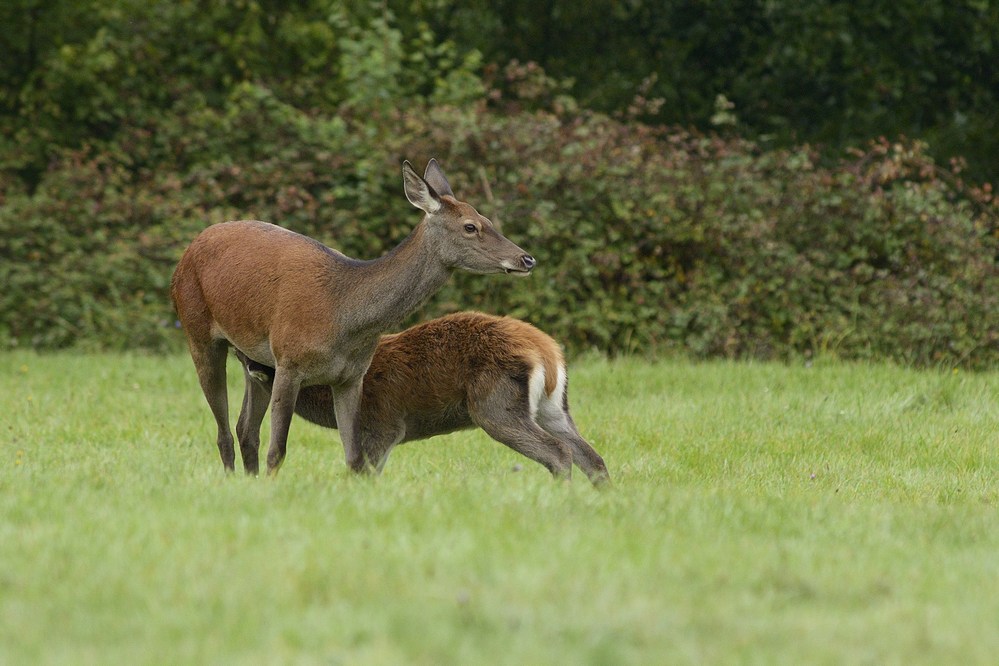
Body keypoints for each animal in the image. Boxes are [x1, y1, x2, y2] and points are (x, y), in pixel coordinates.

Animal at [172, 159, 536, 474]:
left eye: (488, 219)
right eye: (470, 226)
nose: (527, 259)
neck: (344, 318)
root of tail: (189, 249)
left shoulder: (351, 376)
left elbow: (354, 457)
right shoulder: (289, 360)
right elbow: (278, 450)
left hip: (252, 357)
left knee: (245, 429)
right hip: (197, 331)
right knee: (224, 433)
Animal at [236, 308, 608, 486]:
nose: (245, 358)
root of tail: (549, 353)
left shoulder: (383, 424)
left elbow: (364, 471)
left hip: (496, 404)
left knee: (559, 452)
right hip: (554, 408)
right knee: (591, 457)